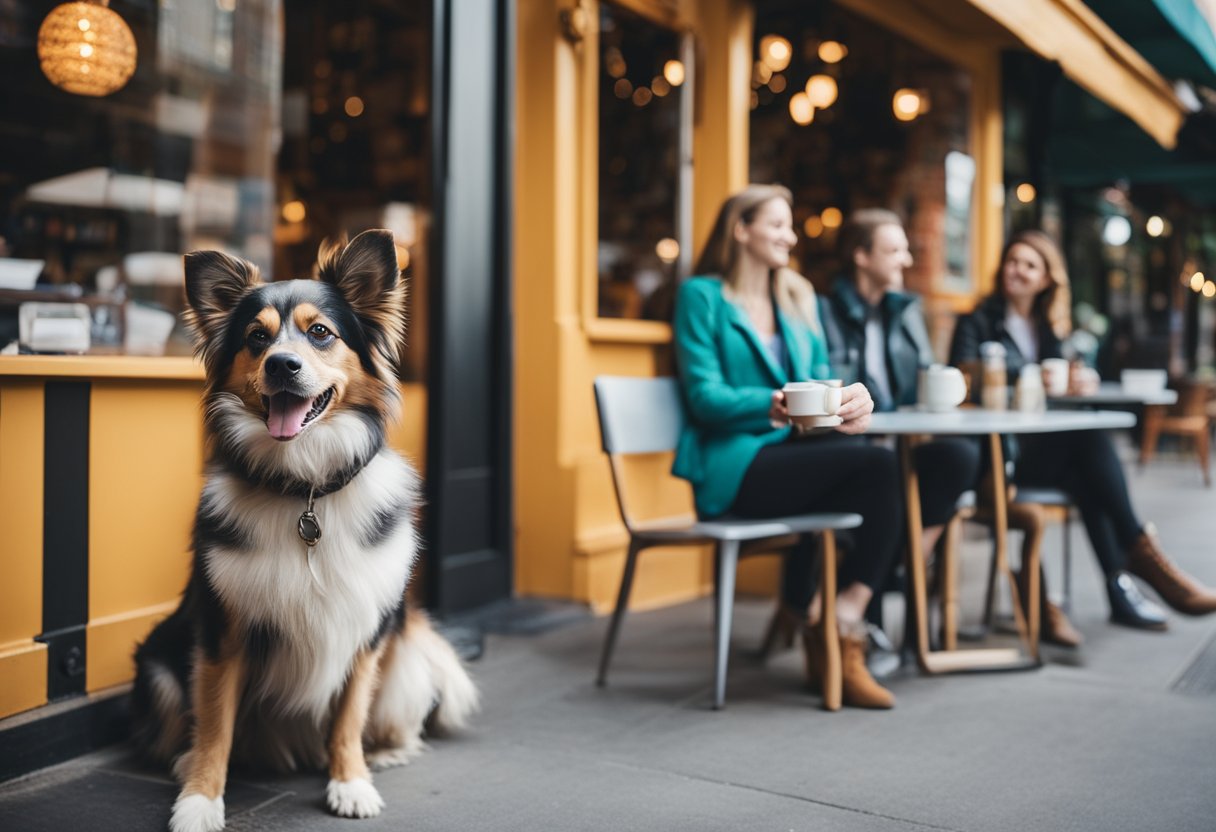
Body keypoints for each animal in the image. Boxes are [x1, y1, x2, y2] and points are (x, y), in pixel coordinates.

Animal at [130, 228, 476, 832]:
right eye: (255, 337)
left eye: (320, 333)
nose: (282, 365)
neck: (305, 487)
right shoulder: (223, 630)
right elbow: (215, 725)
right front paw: (199, 799)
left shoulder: (366, 629)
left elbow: (348, 717)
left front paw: (351, 782)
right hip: (158, 667)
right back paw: (183, 760)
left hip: (405, 654)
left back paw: (382, 753)